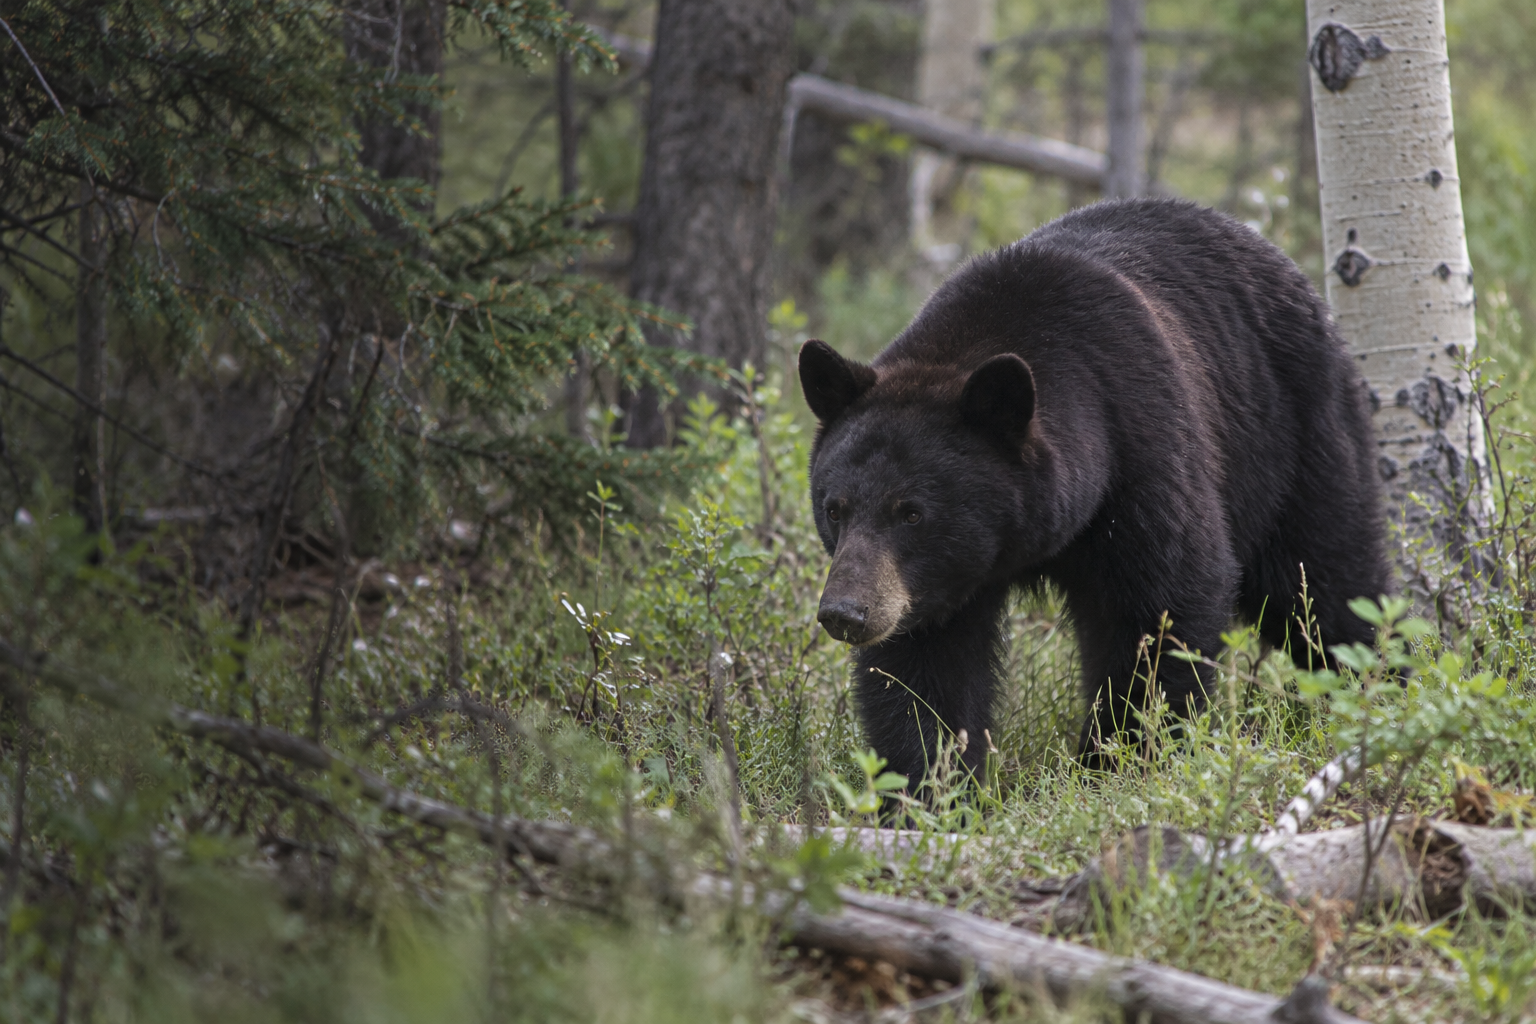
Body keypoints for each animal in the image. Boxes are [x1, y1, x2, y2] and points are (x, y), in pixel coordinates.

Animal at [799, 198, 1389, 785]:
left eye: (913, 513)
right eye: (835, 509)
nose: (845, 612)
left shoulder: (1139, 454)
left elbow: (1163, 609)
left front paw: (1116, 759)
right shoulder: (932, 584)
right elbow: (923, 667)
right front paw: (932, 782)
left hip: (1293, 437)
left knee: (1327, 579)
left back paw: (1376, 681)